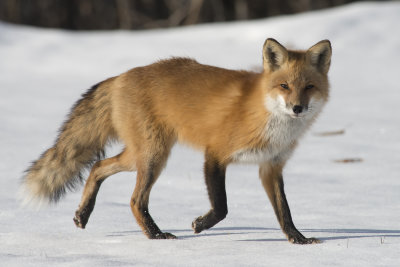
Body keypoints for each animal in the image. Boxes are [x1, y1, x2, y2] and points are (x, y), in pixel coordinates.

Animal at [23, 38, 332, 245]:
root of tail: (121, 76)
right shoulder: (215, 154)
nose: (297, 108)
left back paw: (84, 213)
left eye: (309, 87)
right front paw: (200, 225)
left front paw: (298, 239)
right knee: (135, 200)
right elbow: (222, 207)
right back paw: (155, 235)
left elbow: (284, 211)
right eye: (284, 86)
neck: (266, 116)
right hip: (153, 157)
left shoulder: (271, 166)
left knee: (98, 167)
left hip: (140, 155)